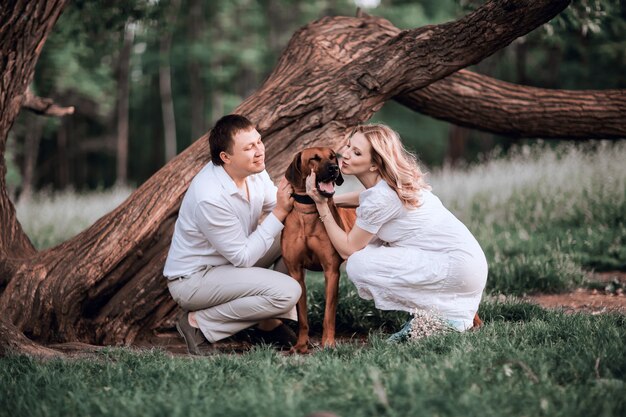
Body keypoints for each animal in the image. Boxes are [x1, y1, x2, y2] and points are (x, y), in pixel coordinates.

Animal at [282, 145, 356, 352]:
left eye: (333, 157)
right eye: (314, 158)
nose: (334, 169)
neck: (308, 211)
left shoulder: (331, 270)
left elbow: (329, 315)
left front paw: (328, 343)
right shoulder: (296, 271)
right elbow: (302, 316)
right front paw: (301, 345)